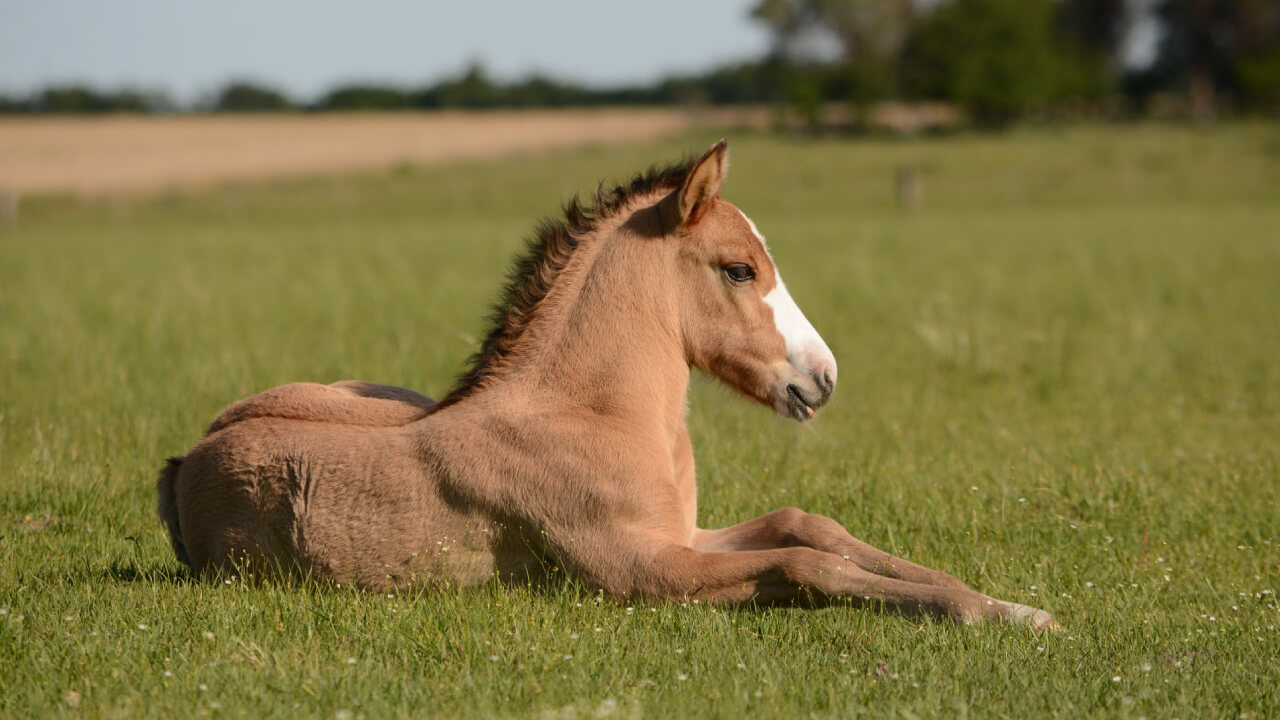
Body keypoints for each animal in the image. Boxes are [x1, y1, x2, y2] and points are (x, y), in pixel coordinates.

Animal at [157, 140, 1055, 630]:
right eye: (739, 268)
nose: (822, 378)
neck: (591, 417)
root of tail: (184, 459)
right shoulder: (641, 571)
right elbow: (808, 566)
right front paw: (988, 614)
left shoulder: (684, 535)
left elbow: (811, 526)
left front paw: (1008, 604)